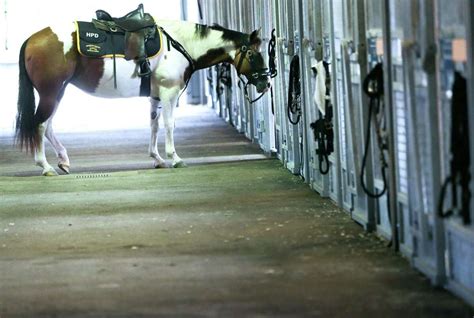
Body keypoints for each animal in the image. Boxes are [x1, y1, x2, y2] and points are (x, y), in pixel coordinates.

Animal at [14, 4, 268, 175]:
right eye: (252, 53)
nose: (266, 82)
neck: (179, 43)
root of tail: (31, 39)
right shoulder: (169, 93)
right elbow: (169, 125)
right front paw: (175, 158)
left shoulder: (156, 96)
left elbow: (154, 125)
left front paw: (157, 159)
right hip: (50, 93)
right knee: (40, 125)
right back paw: (46, 166)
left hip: (58, 92)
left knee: (47, 127)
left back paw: (63, 161)